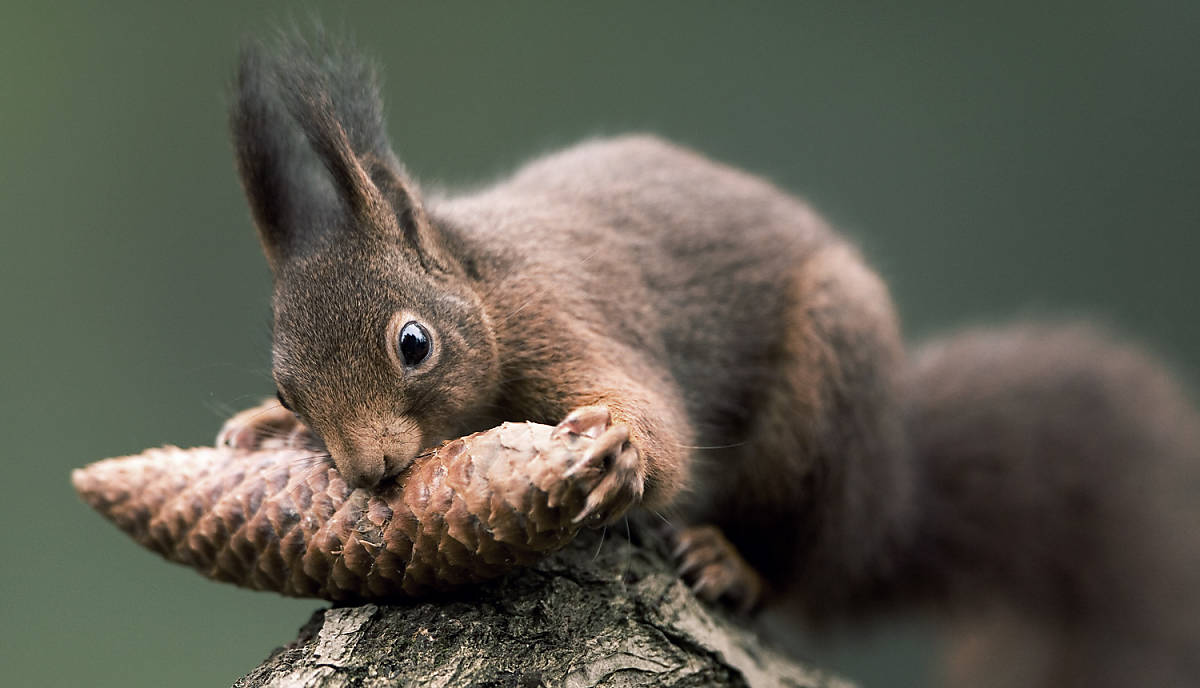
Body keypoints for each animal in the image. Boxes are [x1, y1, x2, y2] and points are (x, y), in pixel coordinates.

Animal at [216, 36, 1200, 686]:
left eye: (413, 344)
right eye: (288, 389)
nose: (368, 471)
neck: (481, 281)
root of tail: (892, 505)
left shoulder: (555, 317)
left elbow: (661, 427)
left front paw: (620, 447)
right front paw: (252, 430)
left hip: (824, 410)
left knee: (801, 564)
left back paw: (736, 564)